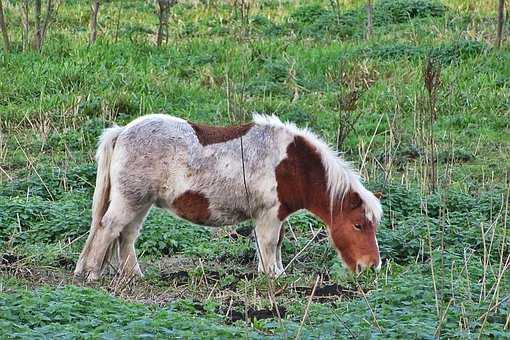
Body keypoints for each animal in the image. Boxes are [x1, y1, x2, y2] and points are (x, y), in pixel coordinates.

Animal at [73, 114, 380, 282]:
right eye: (358, 225)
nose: (372, 266)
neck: (293, 164)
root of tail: (122, 131)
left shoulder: (275, 217)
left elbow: (276, 245)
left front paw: (274, 272)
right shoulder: (269, 215)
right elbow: (269, 245)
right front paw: (273, 276)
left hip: (140, 203)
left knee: (126, 236)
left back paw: (133, 275)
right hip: (130, 201)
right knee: (108, 229)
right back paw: (92, 273)